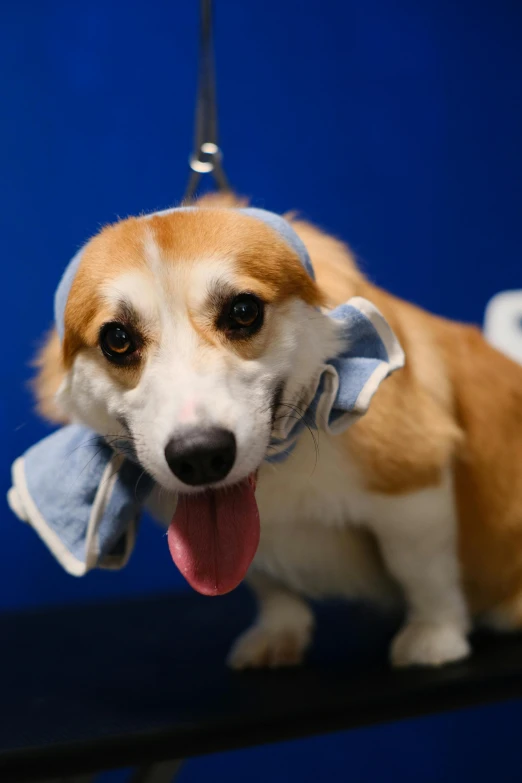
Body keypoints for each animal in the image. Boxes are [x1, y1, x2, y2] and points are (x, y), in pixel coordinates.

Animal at [31, 194, 520, 668]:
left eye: (244, 311)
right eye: (117, 339)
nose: (200, 456)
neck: (284, 459)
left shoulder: (412, 489)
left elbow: (424, 573)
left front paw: (433, 637)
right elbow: (268, 584)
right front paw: (278, 635)